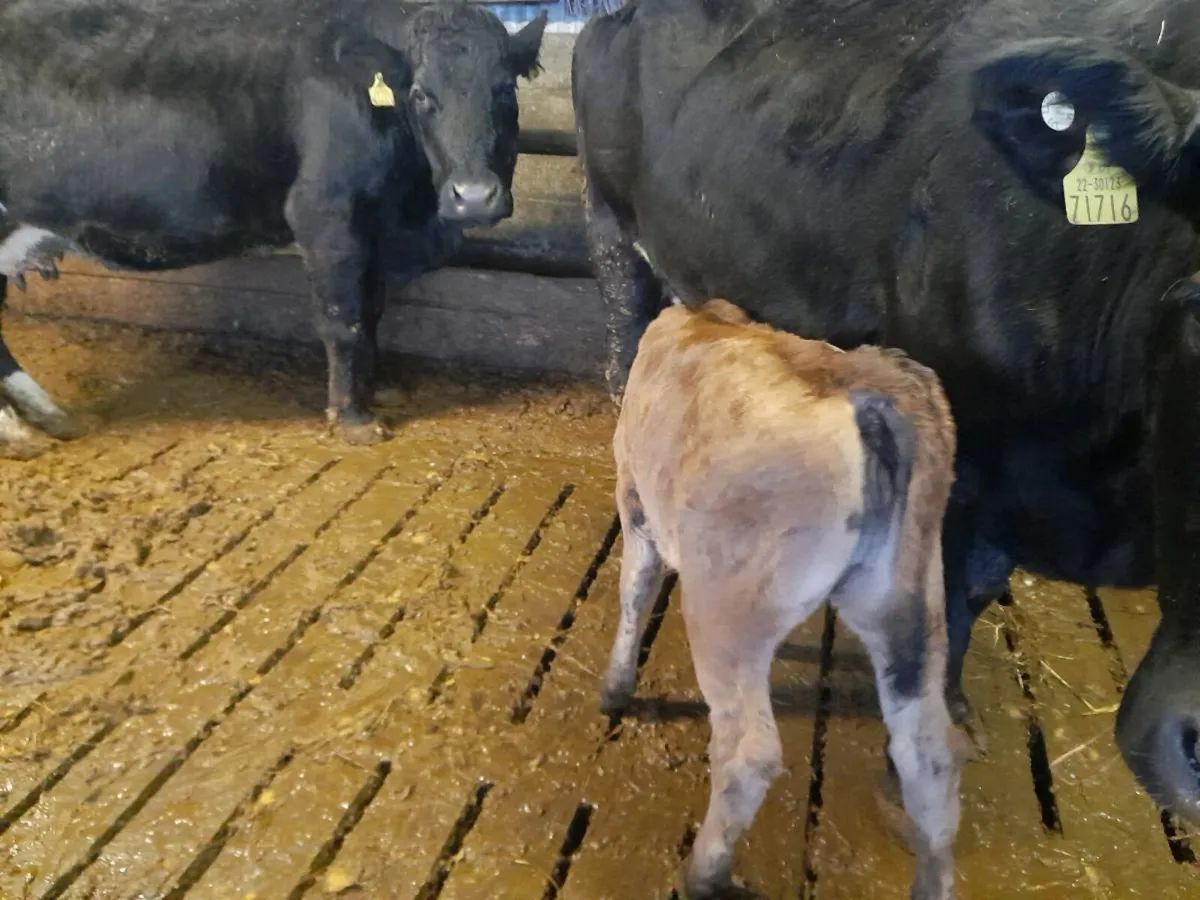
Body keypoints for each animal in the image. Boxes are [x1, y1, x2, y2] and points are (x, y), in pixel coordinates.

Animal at [0, 0, 547, 458]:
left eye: (505, 89)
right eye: (420, 95)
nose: (473, 195)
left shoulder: (372, 224)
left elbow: (372, 309)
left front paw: (378, 387)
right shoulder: (323, 213)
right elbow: (342, 319)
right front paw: (352, 417)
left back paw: (50, 418)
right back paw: (21, 432)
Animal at [604, 298, 963, 899]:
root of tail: (868, 394)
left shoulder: (634, 501)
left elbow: (634, 591)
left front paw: (613, 690)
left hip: (722, 613)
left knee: (748, 752)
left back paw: (703, 873)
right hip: (912, 609)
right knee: (931, 761)